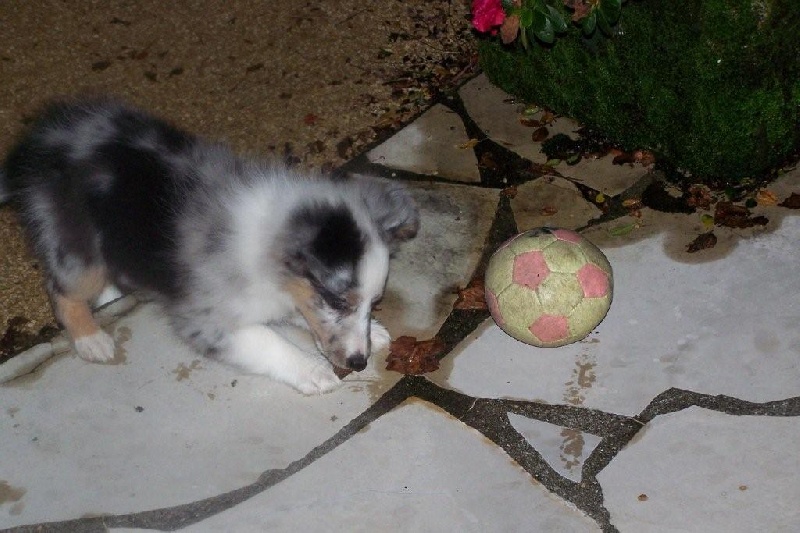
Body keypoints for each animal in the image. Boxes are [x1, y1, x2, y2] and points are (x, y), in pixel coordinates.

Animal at [3, 97, 418, 392]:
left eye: (373, 302)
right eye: (337, 300)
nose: (359, 363)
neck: (269, 253)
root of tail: (45, 134)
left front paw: (377, 331)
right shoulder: (205, 320)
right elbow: (267, 339)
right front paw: (313, 372)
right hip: (77, 244)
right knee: (61, 289)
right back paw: (91, 340)